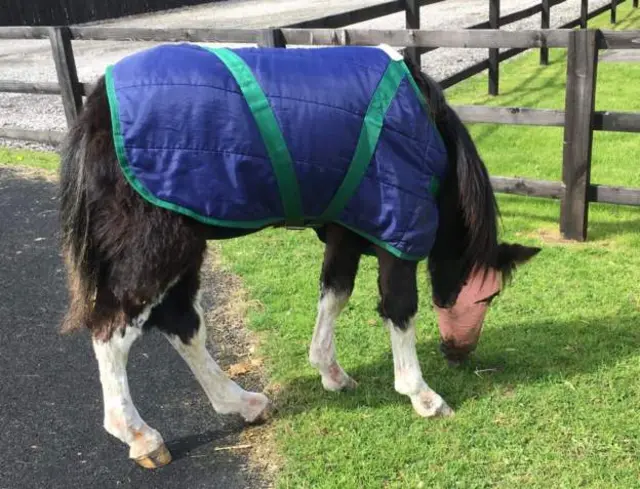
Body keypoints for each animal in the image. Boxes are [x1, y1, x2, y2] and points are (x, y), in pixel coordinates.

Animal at [58, 43, 540, 468]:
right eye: (489, 296)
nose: (459, 353)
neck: (424, 125)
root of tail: (97, 105)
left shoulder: (347, 231)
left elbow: (335, 294)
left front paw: (331, 372)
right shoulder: (395, 230)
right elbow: (399, 308)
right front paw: (420, 394)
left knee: (182, 325)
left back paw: (242, 403)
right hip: (154, 247)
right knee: (113, 331)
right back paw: (139, 435)